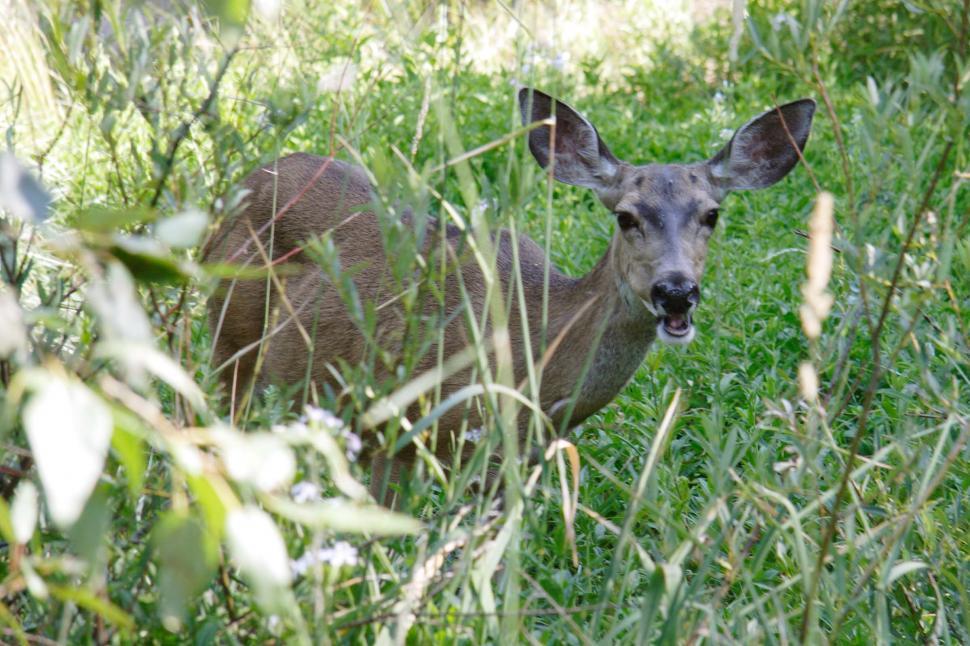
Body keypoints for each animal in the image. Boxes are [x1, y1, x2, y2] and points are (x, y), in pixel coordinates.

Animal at [207, 88, 815, 503]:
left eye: (711, 214)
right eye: (625, 216)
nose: (676, 292)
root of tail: (245, 180)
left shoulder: (500, 459)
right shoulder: (418, 428)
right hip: (229, 344)